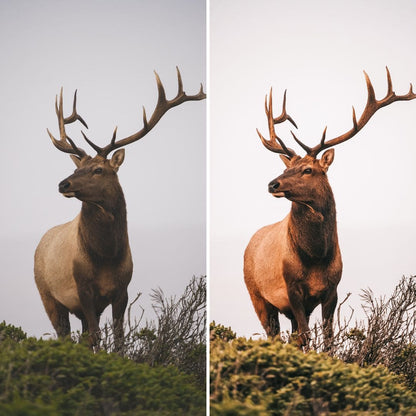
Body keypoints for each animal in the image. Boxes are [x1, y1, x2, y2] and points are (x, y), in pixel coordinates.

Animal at [33, 68, 206, 348]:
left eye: (98, 169)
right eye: (76, 168)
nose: (63, 183)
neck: (106, 256)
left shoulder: (122, 290)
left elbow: (119, 337)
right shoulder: (83, 288)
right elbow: (95, 336)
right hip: (47, 295)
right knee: (64, 334)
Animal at [244, 67, 416, 348]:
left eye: (307, 169)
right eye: (286, 168)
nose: (272, 184)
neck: (316, 256)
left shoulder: (332, 290)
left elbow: (328, 337)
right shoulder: (291, 288)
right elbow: (305, 336)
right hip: (257, 295)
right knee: (273, 333)